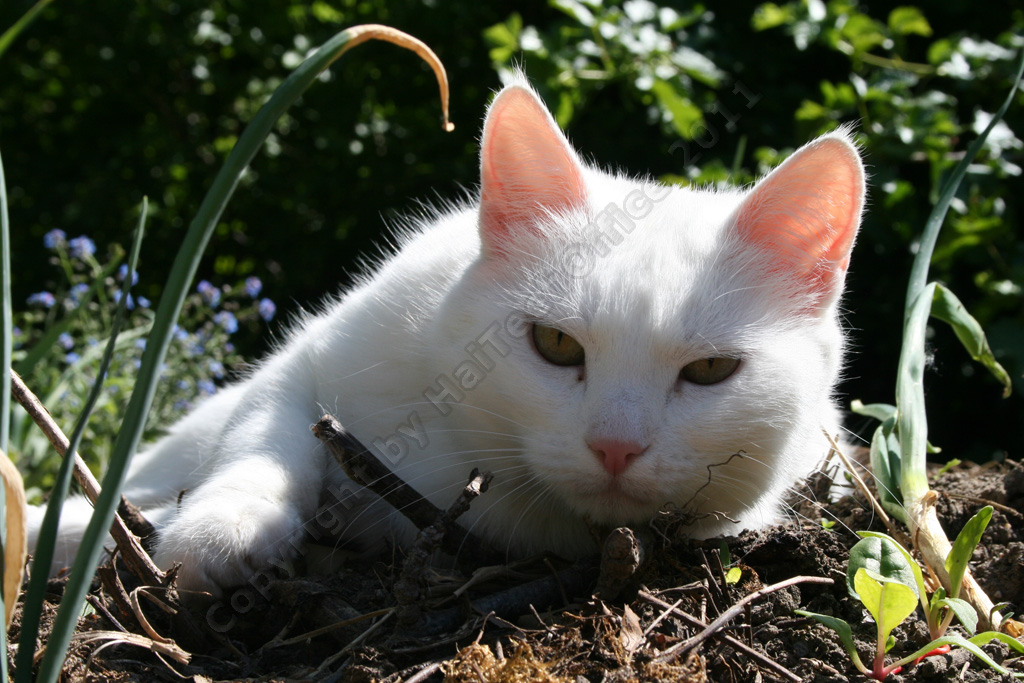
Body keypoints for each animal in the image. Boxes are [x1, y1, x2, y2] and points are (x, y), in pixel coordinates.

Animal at [29, 78, 864, 593]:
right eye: (556, 345)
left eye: (712, 369)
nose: (615, 447)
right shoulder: (310, 356)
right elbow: (269, 434)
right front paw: (223, 529)